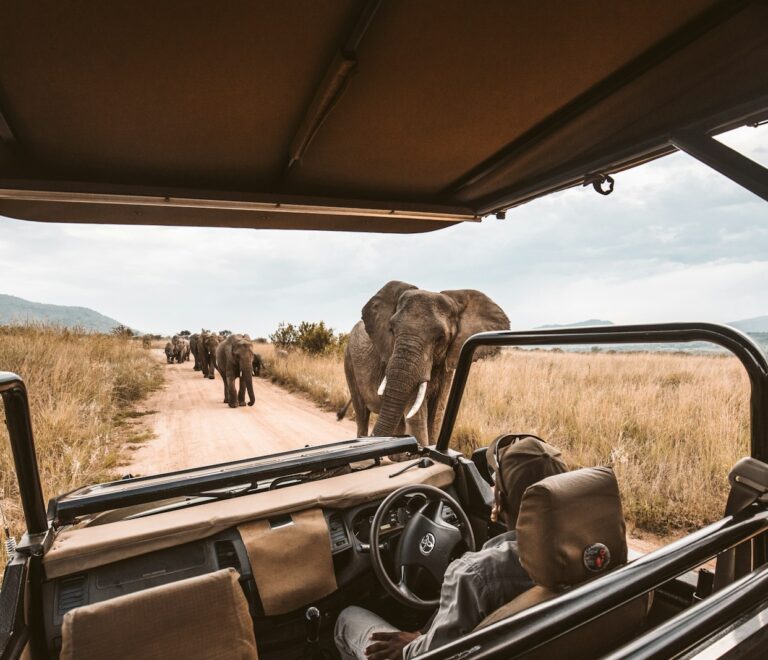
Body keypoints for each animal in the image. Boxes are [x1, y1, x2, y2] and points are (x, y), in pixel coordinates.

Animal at [343, 281, 509, 447]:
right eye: (392, 330)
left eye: (440, 337)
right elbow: (416, 417)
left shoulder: (448, 362)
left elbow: (436, 415)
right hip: (349, 361)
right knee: (362, 414)